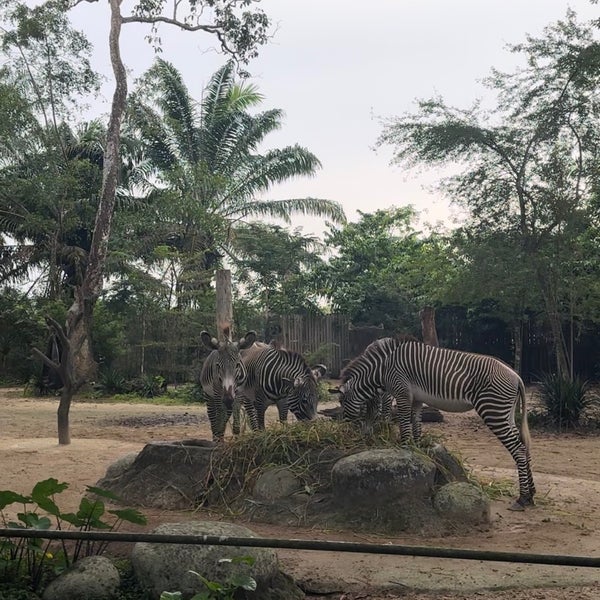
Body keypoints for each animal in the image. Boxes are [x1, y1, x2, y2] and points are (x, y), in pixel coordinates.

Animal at [338, 338, 536, 510]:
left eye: (342, 402)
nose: (347, 430)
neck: (383, 367)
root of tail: (516, 376)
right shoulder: (417, 399)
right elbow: (416, 426)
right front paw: (418, 450)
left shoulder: (403, 394)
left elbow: (404, 426)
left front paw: (405, 449)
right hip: (506, 413)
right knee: (524, 446)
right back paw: (531, 494)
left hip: (493, 410)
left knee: (518, 449)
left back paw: (522, 498)